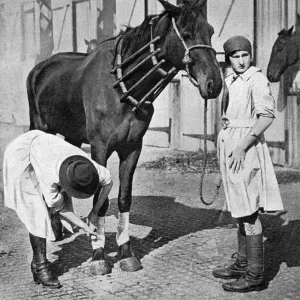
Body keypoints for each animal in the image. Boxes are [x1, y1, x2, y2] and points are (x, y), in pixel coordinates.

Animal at [26, 0, 223, 274]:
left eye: (211, 31)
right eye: (186, 34)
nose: (214, 84)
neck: (121, 85)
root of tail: (38, 68)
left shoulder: (132, 148)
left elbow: (123, 198)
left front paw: (126, 251)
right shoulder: (99, 149)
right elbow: (100, 200)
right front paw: (98, 256)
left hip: (70, 136)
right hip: (41, 130)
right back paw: (53, 229)